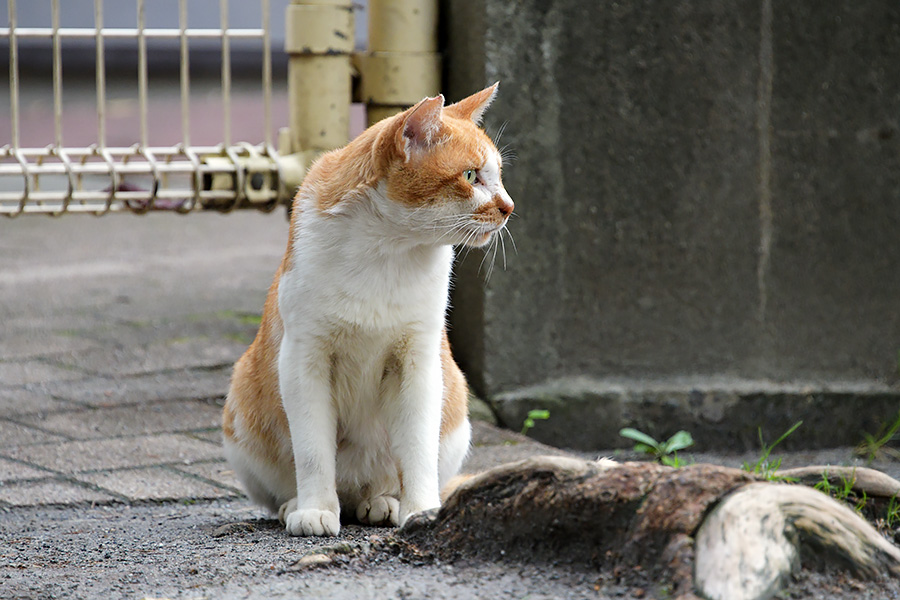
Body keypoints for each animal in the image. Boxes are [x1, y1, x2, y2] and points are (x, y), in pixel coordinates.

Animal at [223, 83, 512, 536]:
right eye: (470, 176)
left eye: (498, 176)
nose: (509, 207)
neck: (387, 249)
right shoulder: (303, 360)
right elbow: (313, 449)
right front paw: (315, 509)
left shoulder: (419, 361)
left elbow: (417, 447)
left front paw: (420, 509)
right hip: (240, 414)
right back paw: (297, 504)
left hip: (455, 410)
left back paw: (383, 501)